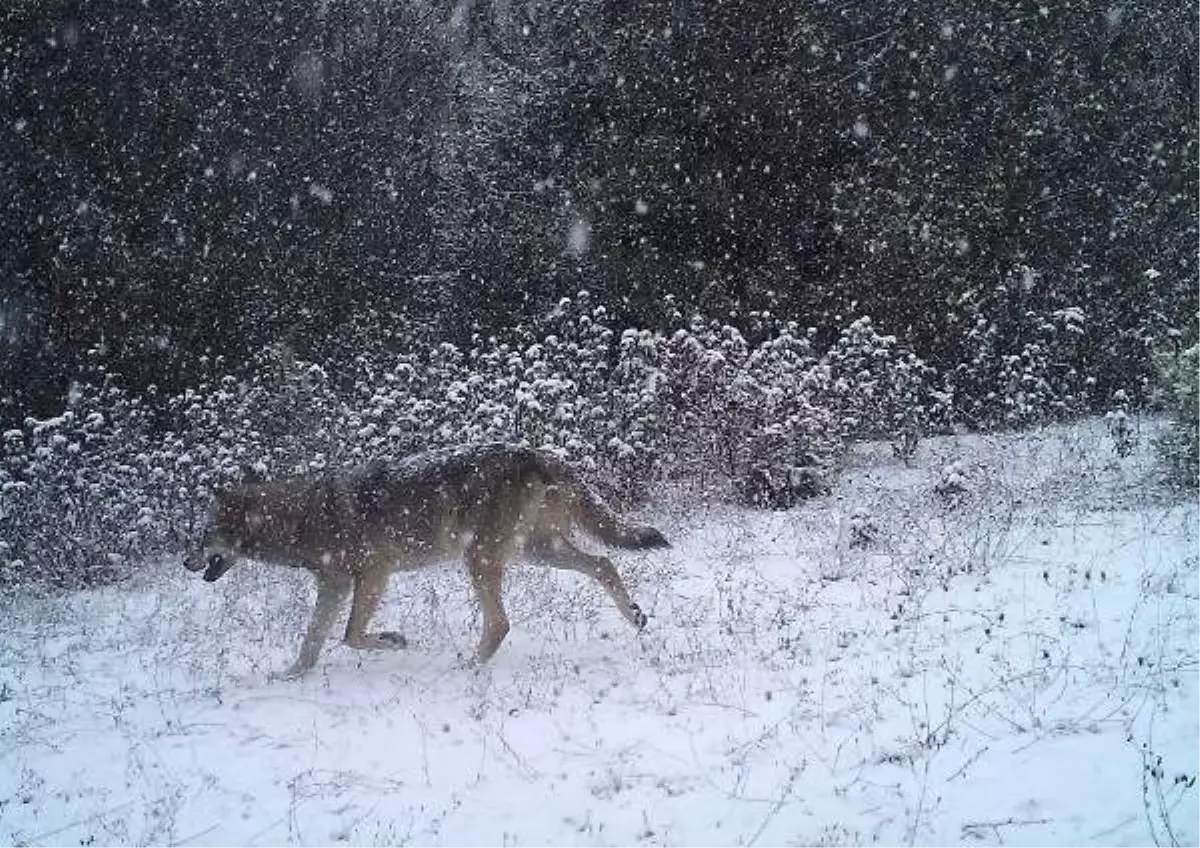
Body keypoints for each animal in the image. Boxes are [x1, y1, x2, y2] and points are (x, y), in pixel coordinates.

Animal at [180, 443, 667, 676]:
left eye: (202, 535)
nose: (185, 561)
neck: (301, 518)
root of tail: (538, 453)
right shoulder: (333, 584)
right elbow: (313, 639)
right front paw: (290, 676)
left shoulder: (372, 574)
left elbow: (350, 635)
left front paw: (395, 640)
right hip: (537, 551)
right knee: (604, 564)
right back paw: (636, 616)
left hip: (483, 559)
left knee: (501, 623)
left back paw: (468, 666)